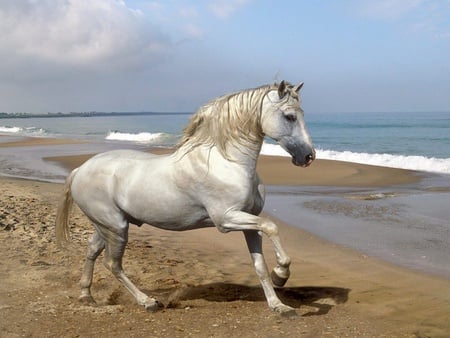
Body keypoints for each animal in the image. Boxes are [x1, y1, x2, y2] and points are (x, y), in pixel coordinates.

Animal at [56, 80, 314, 316]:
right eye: (290, 116)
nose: (308, 156)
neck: (226, 162)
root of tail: (80, 170)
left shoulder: (249, 222)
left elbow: (259, 265)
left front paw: (279, 305)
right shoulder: (226, 219)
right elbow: (272, 227)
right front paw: (281, 275)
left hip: (106, 226)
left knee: (92, 251)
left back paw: (86, 296)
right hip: (116, 227)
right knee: (113, 264)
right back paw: (148, 302)